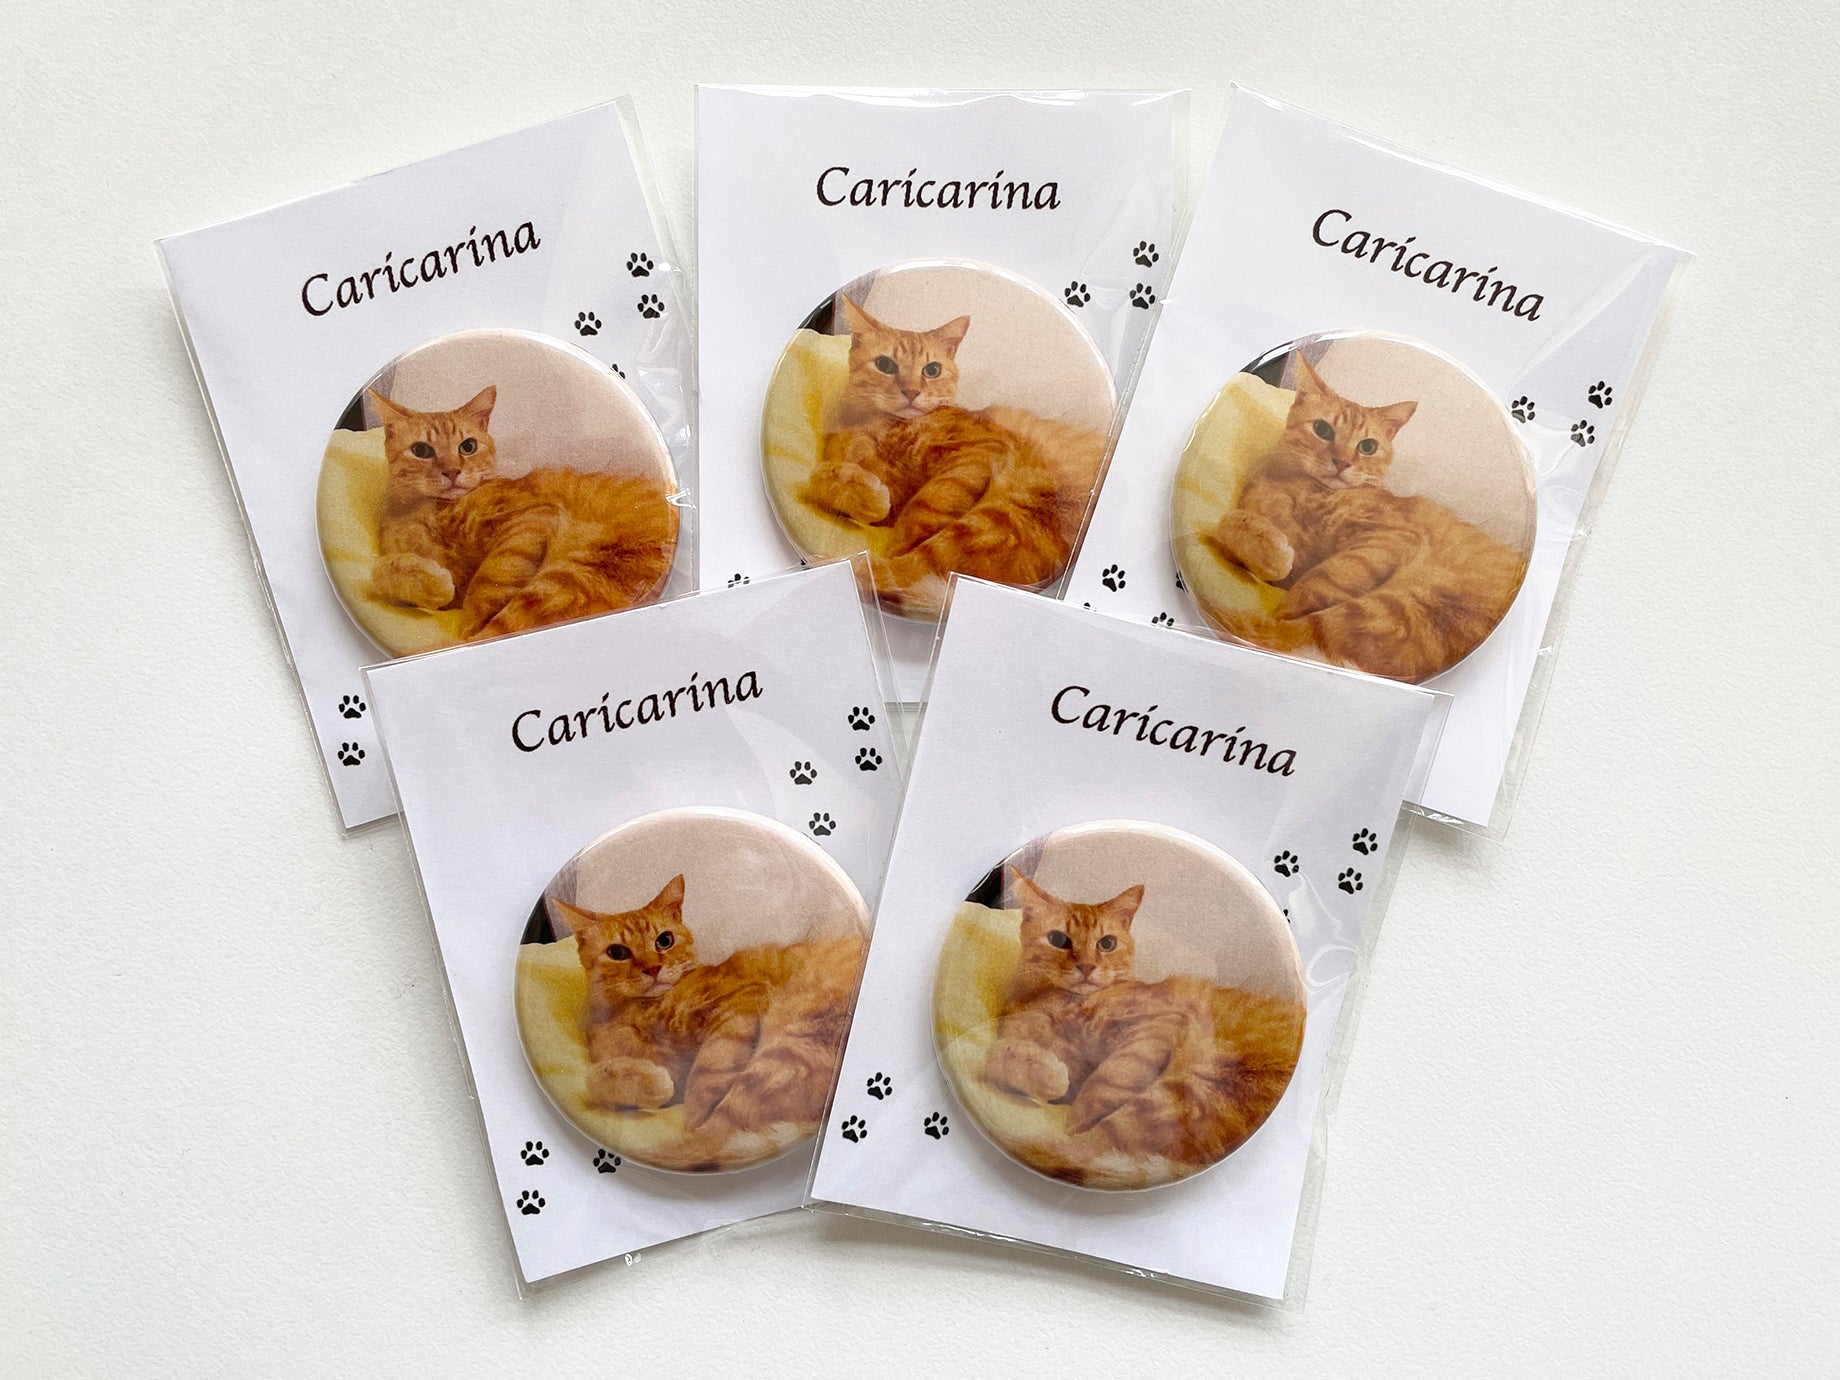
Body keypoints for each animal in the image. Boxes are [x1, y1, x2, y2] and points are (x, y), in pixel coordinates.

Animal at [368, 385, 676, 643]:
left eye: (468, 446)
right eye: (421, 450)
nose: (452, 471)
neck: (429, 510)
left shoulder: (529, 518)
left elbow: (487, 583)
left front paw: (470, 621)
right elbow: (381, 573)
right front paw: (428, 582)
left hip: (567, 577)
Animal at [547, 876, 864, 1169]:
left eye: (664, 940)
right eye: (617, 952)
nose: (653, 968)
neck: (639, 1011)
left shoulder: (740, 1000)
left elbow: (710, 1066)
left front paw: (696, 1107)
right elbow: (600, 1082)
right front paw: (640, 1080)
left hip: (785, 1046)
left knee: (707, 1141)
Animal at [803, 296, 1107, 618]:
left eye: (932, 370)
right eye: (885, 364)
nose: (911, 392)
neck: (886, 427)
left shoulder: (977, 452)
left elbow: (922, 510)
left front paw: (896, 535)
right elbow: (829, 481)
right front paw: (855, 487)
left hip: (1001, 512)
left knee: (902, 572)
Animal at [981, 870, 1305, 1187]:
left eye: (1107, 943)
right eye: (1058, 939)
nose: (1086, 967)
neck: (1062, 1001)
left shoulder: (1155, 1026)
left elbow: (1103, 1083)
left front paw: (1076, 1119)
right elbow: (999, 1058)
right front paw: (1042, 1072)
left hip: (1189, 1086)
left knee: (1083, 1149)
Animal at [1207, 354, 1530, 682]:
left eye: (1368, 446)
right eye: (1322, 429)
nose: (1341, 463)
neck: (1312, 494)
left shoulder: (1387, 538)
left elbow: (1320, 580)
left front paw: (1287, 596)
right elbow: (1233, 528)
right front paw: (1266, 546)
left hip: (1394, 603)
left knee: (1301, 629)